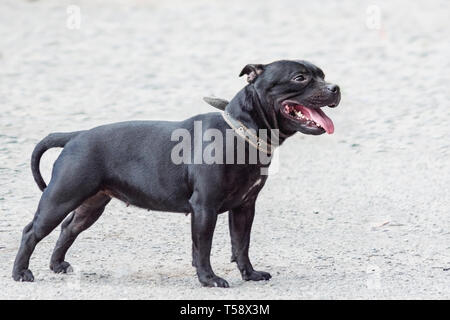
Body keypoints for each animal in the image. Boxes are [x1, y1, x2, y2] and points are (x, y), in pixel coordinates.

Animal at [12, 60, 340, 288]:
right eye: (300, 78)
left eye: (323, 75)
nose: (335, 88)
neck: (241, 132)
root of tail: (75, 136)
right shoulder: (205, 207)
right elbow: (203, 247)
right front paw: (209, 280)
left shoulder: (245, 207)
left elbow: (241, 244)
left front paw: (249, 274)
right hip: (60, 198)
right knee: (31, 231)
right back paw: (21, 273)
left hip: (90, 205)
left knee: (68, 229)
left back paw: (57, 265)